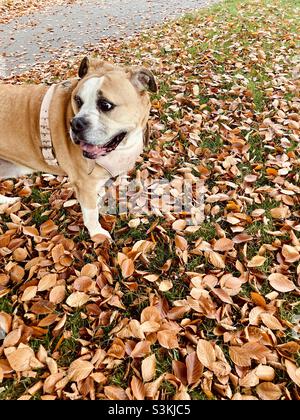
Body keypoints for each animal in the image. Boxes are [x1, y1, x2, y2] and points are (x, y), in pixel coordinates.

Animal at [0, 58, 158, 241]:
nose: (76, 124)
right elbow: (90, 213)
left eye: (105, 105)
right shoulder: (85, 184)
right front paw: (97, 233)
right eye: (77, 100)